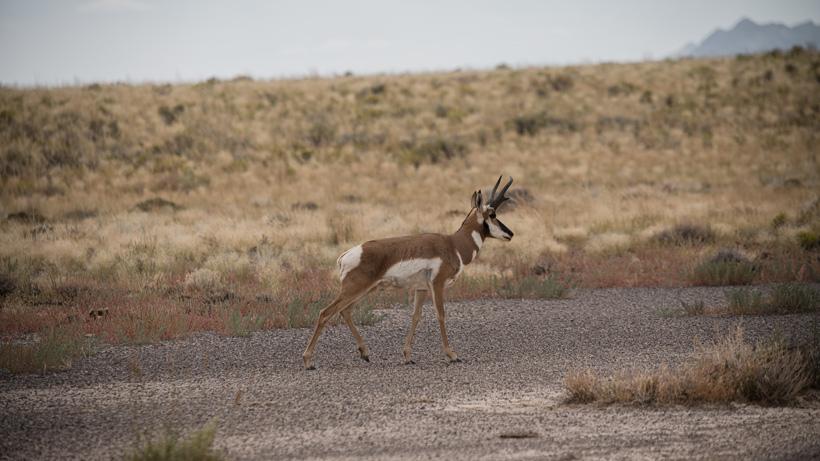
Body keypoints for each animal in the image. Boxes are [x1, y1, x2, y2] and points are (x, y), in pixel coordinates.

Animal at [303, 176, 515, 370]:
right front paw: (452, 355)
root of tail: (347, 254)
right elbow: (441, 314)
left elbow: (416, 316)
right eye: (493, 214)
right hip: (355, 289)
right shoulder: (437, 285)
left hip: (364, 290)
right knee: (325, 312)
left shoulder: (421, 289)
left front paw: (407, 356)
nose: (510, 234)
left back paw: (365, 353)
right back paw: (308, 361)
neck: (453, 244)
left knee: (344, 311)